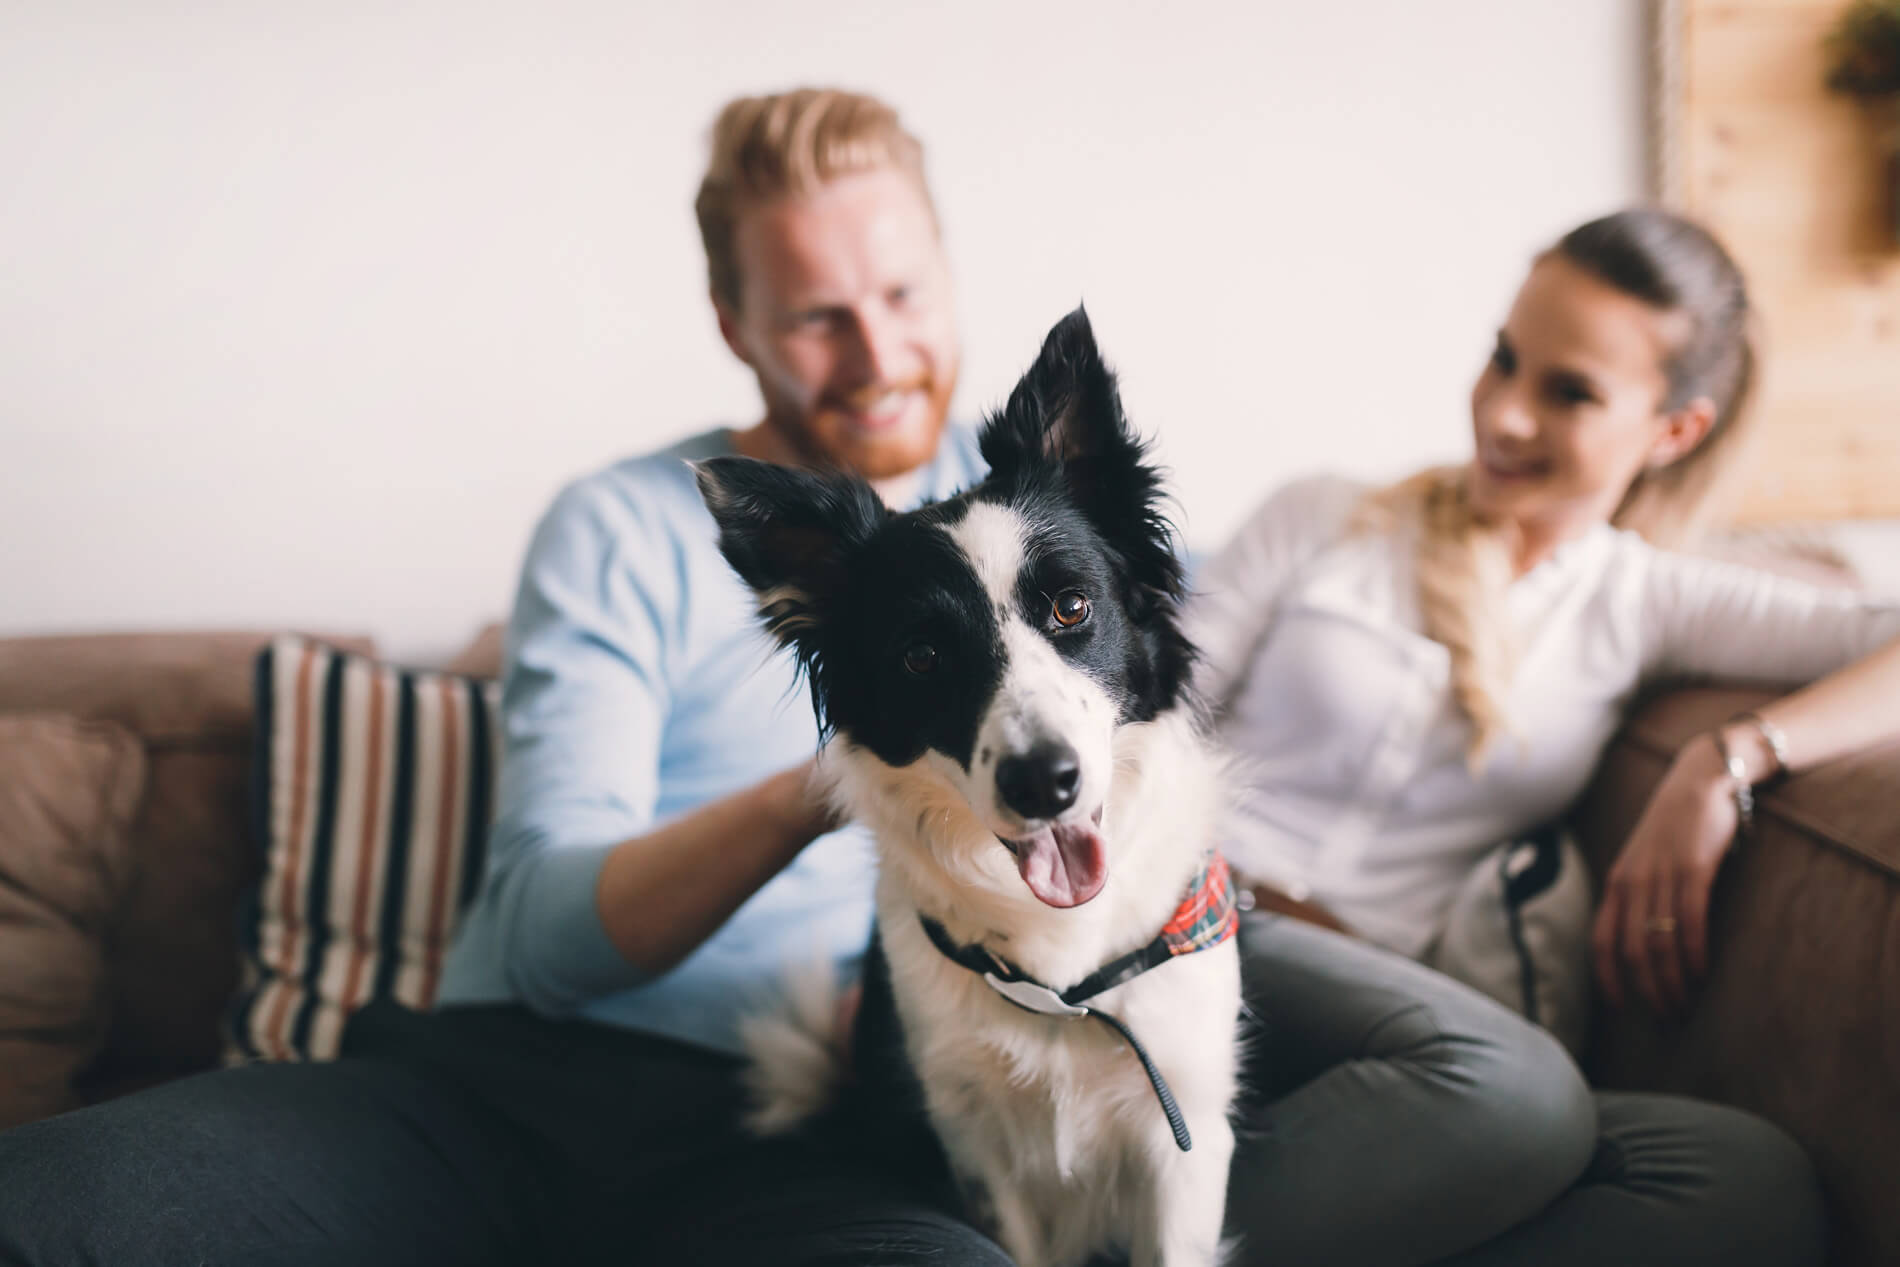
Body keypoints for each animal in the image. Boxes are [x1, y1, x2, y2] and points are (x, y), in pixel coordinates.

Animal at [699, 309, 1246, 1267]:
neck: (1064, 972)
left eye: (1072, 607)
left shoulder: (1183, 1131)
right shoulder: (977, 1145)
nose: (1045, 782)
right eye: (921, 657)